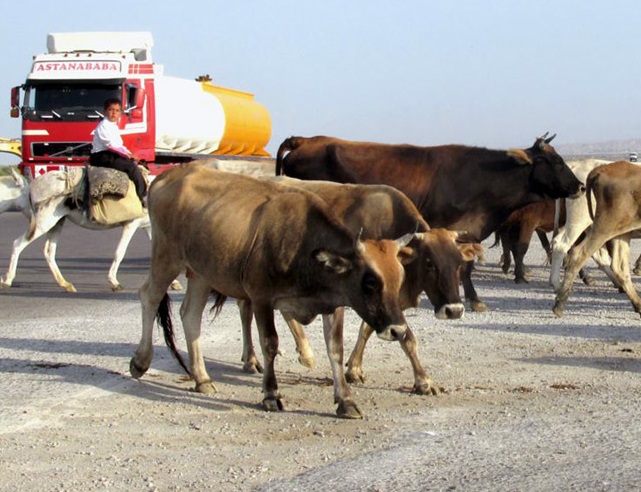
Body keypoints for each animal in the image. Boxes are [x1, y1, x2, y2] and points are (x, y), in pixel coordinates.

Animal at [132, 163, 416, 418]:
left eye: (400, 278)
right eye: (370, 282)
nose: (398, 330)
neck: (303, 244)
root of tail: (169, 175)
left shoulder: (333, 304)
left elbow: (335, 350)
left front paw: (345, 401)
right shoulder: (261, 298)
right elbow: (269, 343)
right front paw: (271, 394)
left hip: (201, 273)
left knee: (191, 315)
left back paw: (202, 378)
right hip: (167, 257)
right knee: (149, 296)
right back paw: (140, 362)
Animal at [276, 135, 584, 312]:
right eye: (554, 161)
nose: (580, 186)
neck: (480, 178)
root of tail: (305, 140)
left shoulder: (470, 230)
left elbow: (465, 263)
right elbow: (464, 266)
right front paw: (471, 297)